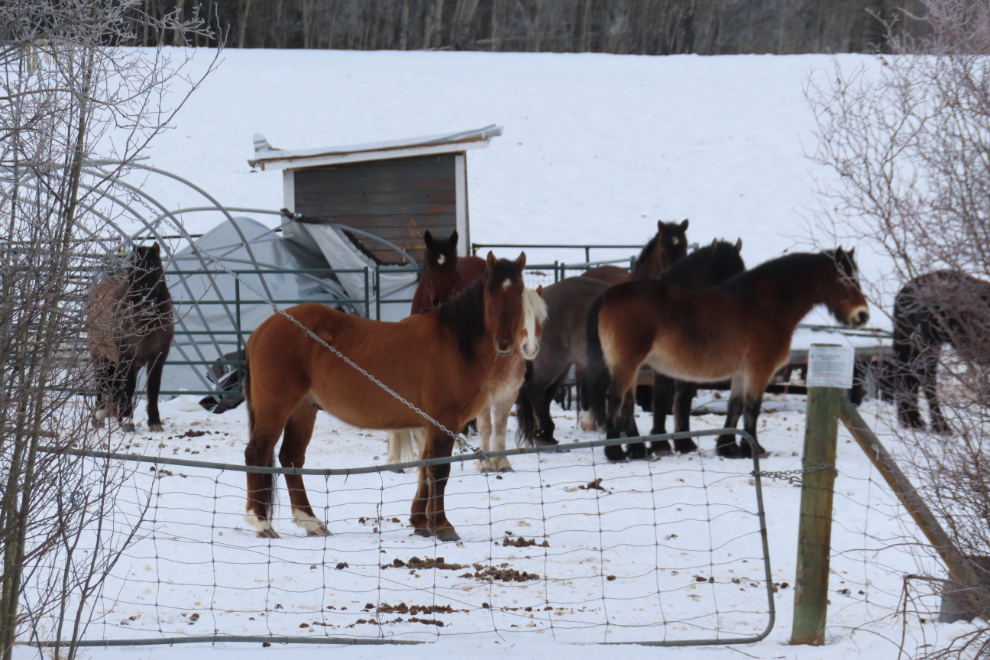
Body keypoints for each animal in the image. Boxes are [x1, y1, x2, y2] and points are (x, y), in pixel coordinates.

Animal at [243, 253, 532, 542]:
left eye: (519, 292)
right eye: (491, 292)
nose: (504, 342)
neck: (454, 344)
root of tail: (260, 331)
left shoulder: (432, 424)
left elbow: (426, 467)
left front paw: (421, 521)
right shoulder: (444, 421)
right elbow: (439, 470)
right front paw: (442, 525)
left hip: (303, 409)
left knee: (291, 457)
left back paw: (310, 522)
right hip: (276, 406)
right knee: (257, 453)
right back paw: (261, 523)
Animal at [515, 219, 690, 446]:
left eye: (685, 247)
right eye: (663, 249)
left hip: (564, 364)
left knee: (545, 394)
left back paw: (544, 434)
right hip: (552, 360)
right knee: (534, 390)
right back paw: (547, 432)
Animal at [587, 249, 869, 462]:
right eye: (844, 279)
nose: (863, 315)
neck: (766, 306)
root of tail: (607, 295)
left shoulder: (742, 372)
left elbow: (735, 406)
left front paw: (729, 446)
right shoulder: (759, 369)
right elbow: (752, 408)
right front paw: (753, 448)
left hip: (630, 367)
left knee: (627, 403)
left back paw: (636, 450)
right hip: (627, 365)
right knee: (615, 399)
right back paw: (614, 452)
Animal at [892, 270, 990, 433]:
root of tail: (902, 294)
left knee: (908, 379)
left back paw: (912, 421)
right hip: (926, 345)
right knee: (925, 381)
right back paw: (938, 426)